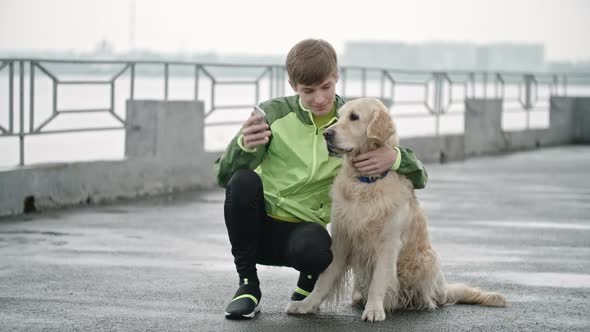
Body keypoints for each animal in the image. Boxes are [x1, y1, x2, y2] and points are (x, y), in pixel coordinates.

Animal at [286, 98, 508, 322]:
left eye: (354, 117)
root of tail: (443, 287)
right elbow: (325, 278)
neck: (365, 182)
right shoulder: (342, 238)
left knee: (432, 298)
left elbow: (378, 281)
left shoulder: (388, 242)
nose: (326, 134)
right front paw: (306, 304)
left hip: (427, 260)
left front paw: (374, 310)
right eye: (338, 117)